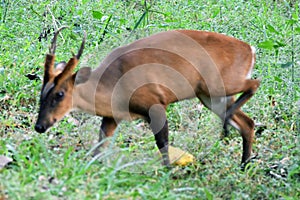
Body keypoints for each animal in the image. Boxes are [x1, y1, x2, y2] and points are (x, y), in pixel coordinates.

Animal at [34, 27, 260, 166]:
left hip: (218, 84)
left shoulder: (156, 104)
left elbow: (163, 144)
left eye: (60, 94)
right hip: (209, 96)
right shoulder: (111, 117)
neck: (111, 85)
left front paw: (168, 176)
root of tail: (250, 49)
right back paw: (243, 164)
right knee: (247, 123)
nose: (39, 126)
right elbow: (99, 147)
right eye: (41, 93)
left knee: (254, 84)